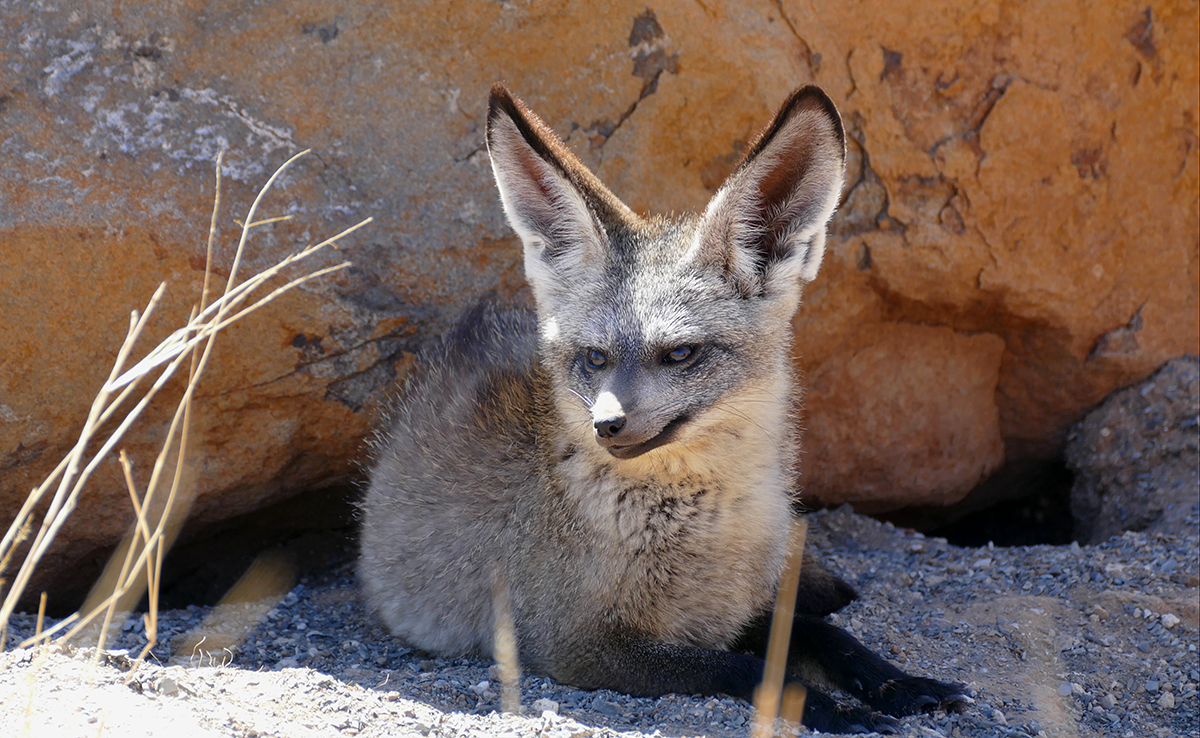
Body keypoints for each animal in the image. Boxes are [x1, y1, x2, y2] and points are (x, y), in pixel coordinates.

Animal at [355, 82, 964, 734]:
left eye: (680, 353)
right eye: (595, 357)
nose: (606, 424)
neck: (701, 542)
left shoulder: (734, 613)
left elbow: (826, 637)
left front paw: (900, 683)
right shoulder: (571, 644)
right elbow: (743, 669)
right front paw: (836, 709)